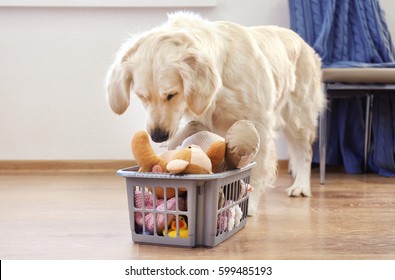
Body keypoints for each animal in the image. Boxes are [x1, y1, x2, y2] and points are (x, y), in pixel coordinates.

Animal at [105, 12, 324, 215]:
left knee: (304, 153)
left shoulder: (259, 123)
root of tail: (300, 39)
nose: (158, 136)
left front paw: (249, 205)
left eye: (171, 95)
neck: (222, 77)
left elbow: (257, 168)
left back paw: (301, 186)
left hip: (299, 116)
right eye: (142, 96)